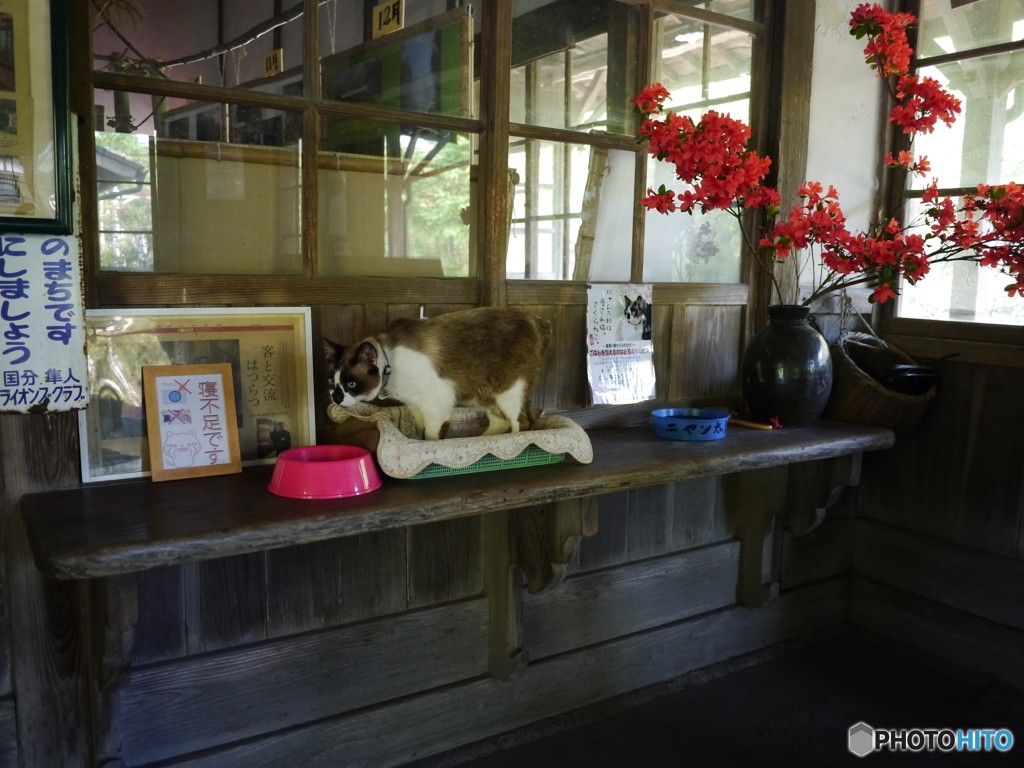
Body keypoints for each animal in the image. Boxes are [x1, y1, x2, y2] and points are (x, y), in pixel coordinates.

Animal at [325, 305, 552, 438]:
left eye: (351, 384)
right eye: (331, 382)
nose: (336, 398)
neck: (392, 370)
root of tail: (538, 319)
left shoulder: (437, 403)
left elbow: (432, 437)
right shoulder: (416, 405)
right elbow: (421, 432)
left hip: (508, 390)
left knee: (522, 422)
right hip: (483, 393)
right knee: (501, 420)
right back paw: (482, 439)